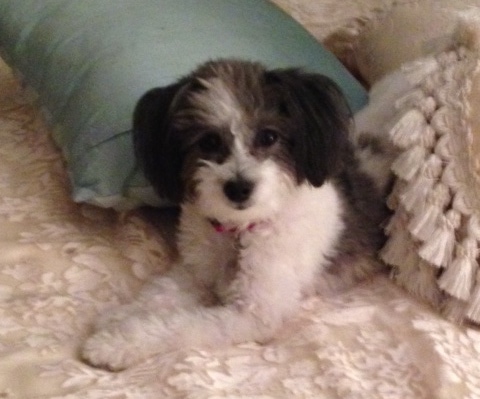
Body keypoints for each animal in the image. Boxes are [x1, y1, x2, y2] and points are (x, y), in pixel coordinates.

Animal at [80, 59, 392, 372]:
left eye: (268, 136)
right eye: (208, 141)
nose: (238, 188)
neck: (240, 230)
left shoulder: (253, 314)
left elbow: (179, 326)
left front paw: (117, 343)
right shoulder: (195, 270)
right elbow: (159, 291)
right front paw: (119, 318)